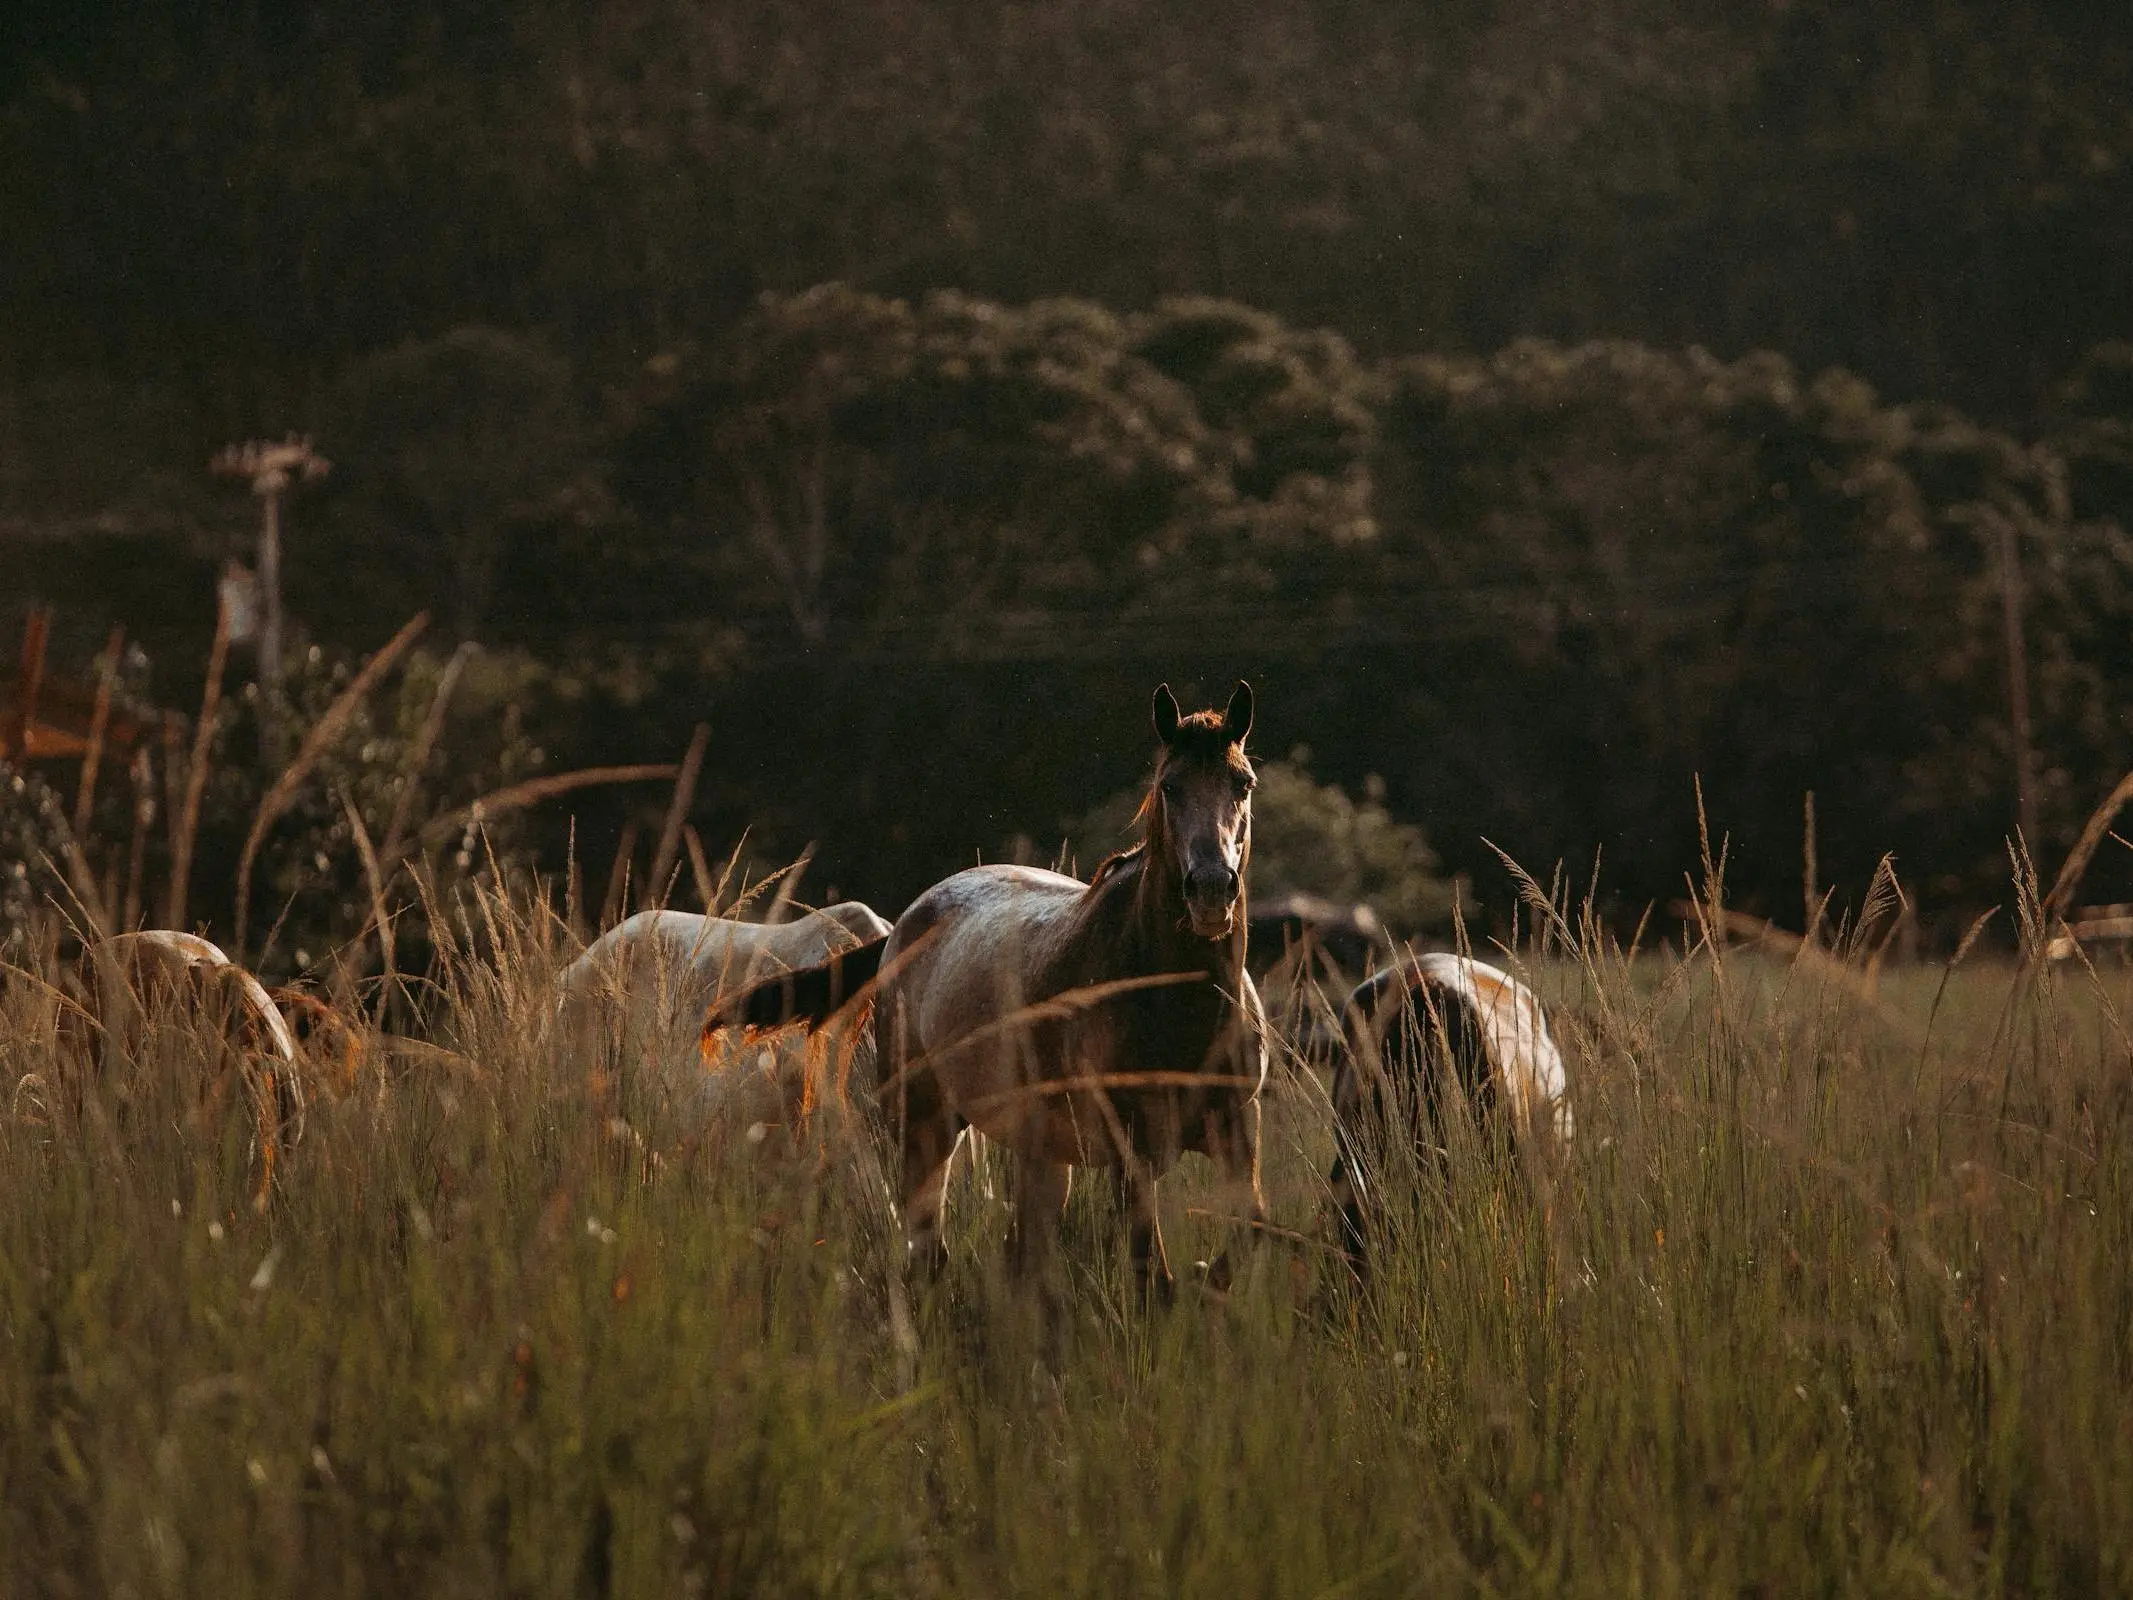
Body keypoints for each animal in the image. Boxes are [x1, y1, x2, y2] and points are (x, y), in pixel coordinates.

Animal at [716, 682, 1262, 1297]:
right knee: (929, 1251)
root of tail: (901, 927)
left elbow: (1249, 1232)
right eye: (1170, 786)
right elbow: (1154, 1277)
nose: (1211, 889)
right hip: (925, 1125)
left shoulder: (1238, 1132)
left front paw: (1207, 1280)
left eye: (1243, 783)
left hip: (1040, 1152)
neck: (1172, 1001)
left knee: (1022, 1256)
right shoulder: (1131, 1150)